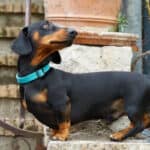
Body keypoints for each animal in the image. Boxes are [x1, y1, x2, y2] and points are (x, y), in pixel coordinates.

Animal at [11, 20, 150, 141]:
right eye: (45, 25)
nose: (74, 31)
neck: (38, 75)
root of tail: (146, 77)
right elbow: (55, 125)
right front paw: (55, 134)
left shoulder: (61, 103)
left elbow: (63, 122)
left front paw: (61, 135)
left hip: (132, 105)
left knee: (140, 124)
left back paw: (119, 135)